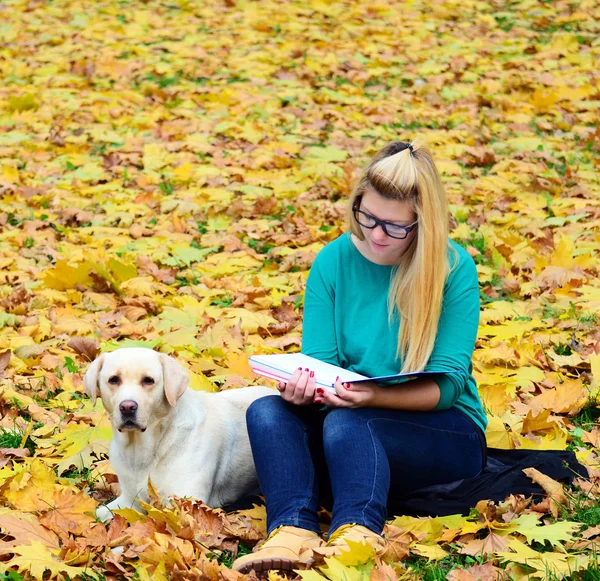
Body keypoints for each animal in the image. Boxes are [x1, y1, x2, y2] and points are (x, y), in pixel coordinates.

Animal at [83, 346, 276, 520]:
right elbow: (97, 514)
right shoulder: (129, 500)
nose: (127, 407)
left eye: (148, 380)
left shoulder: (186, 504)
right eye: (114, 379)